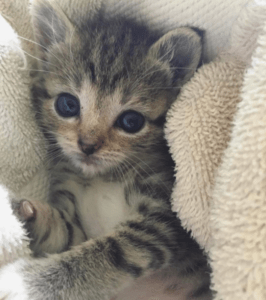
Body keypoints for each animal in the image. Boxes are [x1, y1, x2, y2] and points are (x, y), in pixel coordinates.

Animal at [0, 0, 212, 300]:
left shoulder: (163, 219)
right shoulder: (78, 226)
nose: (88, 145)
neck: (101, 178)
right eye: (67, 105)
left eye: (131, 121)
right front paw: (28, 214)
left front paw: (25, 284)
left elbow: (110, 254)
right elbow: (64, 233)